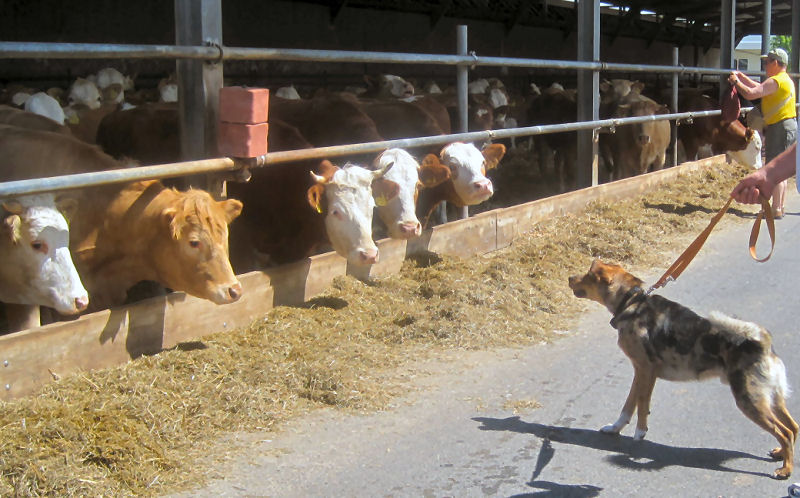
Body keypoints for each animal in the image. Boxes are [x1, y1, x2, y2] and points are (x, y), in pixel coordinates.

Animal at [564, 258, 796, 476]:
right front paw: (615, 429)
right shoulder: (639, 371)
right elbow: (629, 406)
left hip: (749, 400)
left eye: (588, 275)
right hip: (772, 398)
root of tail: (762, 343)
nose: (569, 278)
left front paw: (640, 433)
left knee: (784, 432)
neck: (631, 303)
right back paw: (781, 454)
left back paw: (785, 470)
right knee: (793, 428)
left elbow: (641, 404)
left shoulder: (646, 370)